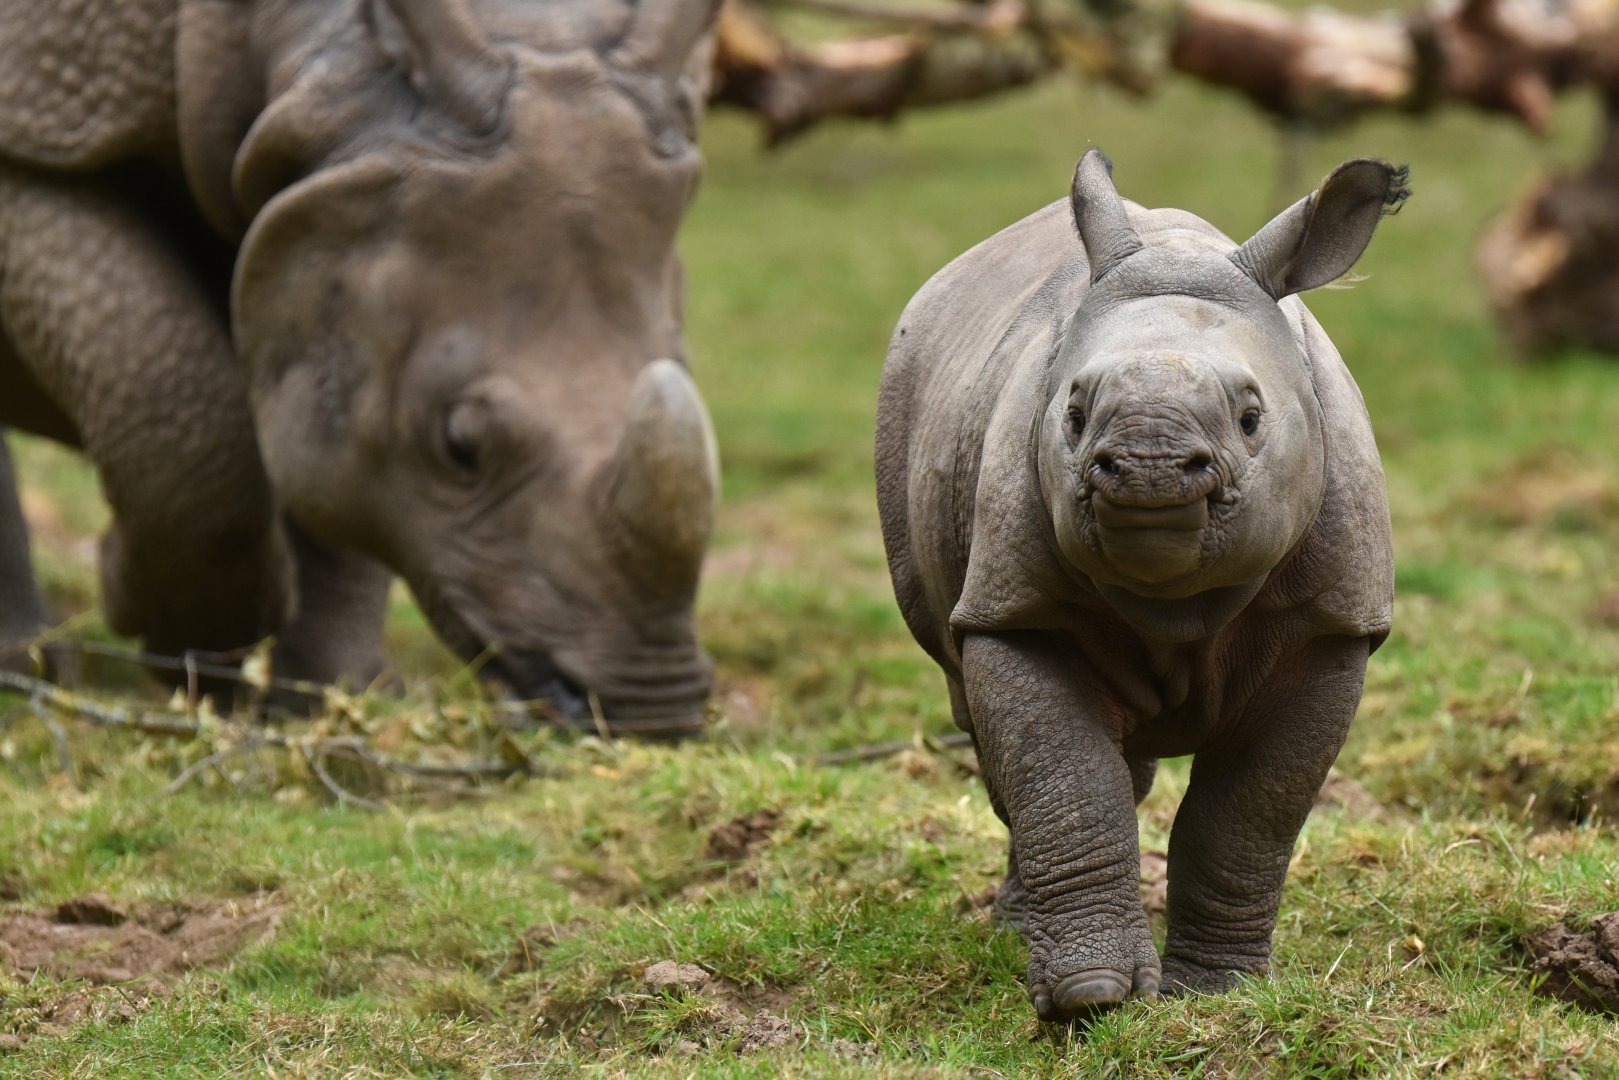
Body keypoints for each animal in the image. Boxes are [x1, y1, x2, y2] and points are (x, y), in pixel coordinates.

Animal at [0, 0, 721, 733]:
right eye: (459, 448)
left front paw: (333, 700)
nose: (648, 711)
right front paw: (183, 641)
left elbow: (336, 458)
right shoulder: (40, 118)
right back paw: (31, 675)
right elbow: (160, 370)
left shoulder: (340, 196)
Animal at [877, 149, 1404, 1020]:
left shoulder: (1333, 623)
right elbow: (1062, 779)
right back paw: (1016, 931)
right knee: (980, 709)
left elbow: (1249, 816)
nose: (1146, 466)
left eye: (1251, 418)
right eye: (1073, 412)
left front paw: (1216, 992)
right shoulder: (1016, 608)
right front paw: (1091, 998)